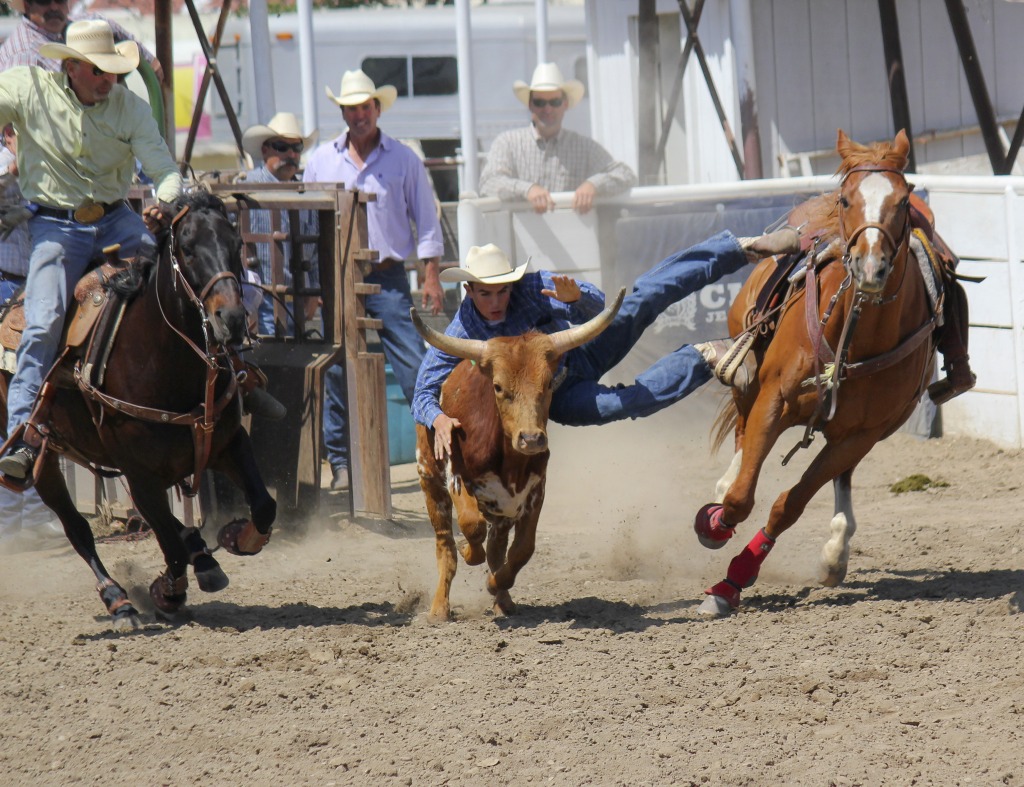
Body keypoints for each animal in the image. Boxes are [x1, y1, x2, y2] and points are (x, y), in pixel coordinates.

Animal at [0, 193, 276, 630]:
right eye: (187, 248)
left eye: (236, 243)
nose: (231, 319)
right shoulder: (140, 474)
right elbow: (169, 547)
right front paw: (167, 593)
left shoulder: (228, 443)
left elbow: (264, 505)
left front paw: (236, 537)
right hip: (45, 458)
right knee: (77, 527)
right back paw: (119, 601)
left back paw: (203, 557)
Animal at [692, 128, 937, 618]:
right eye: (846, 199)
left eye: (903, 200)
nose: (870, 267)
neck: (856, 336)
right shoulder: (774, 399)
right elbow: (741, 497)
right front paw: (715, 523)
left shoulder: (859, 435)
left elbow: (789, 505)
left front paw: (733, 581)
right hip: (749, 372)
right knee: (741, 433)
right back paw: (724, 487)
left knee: (839, 480)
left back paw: (836, 552)